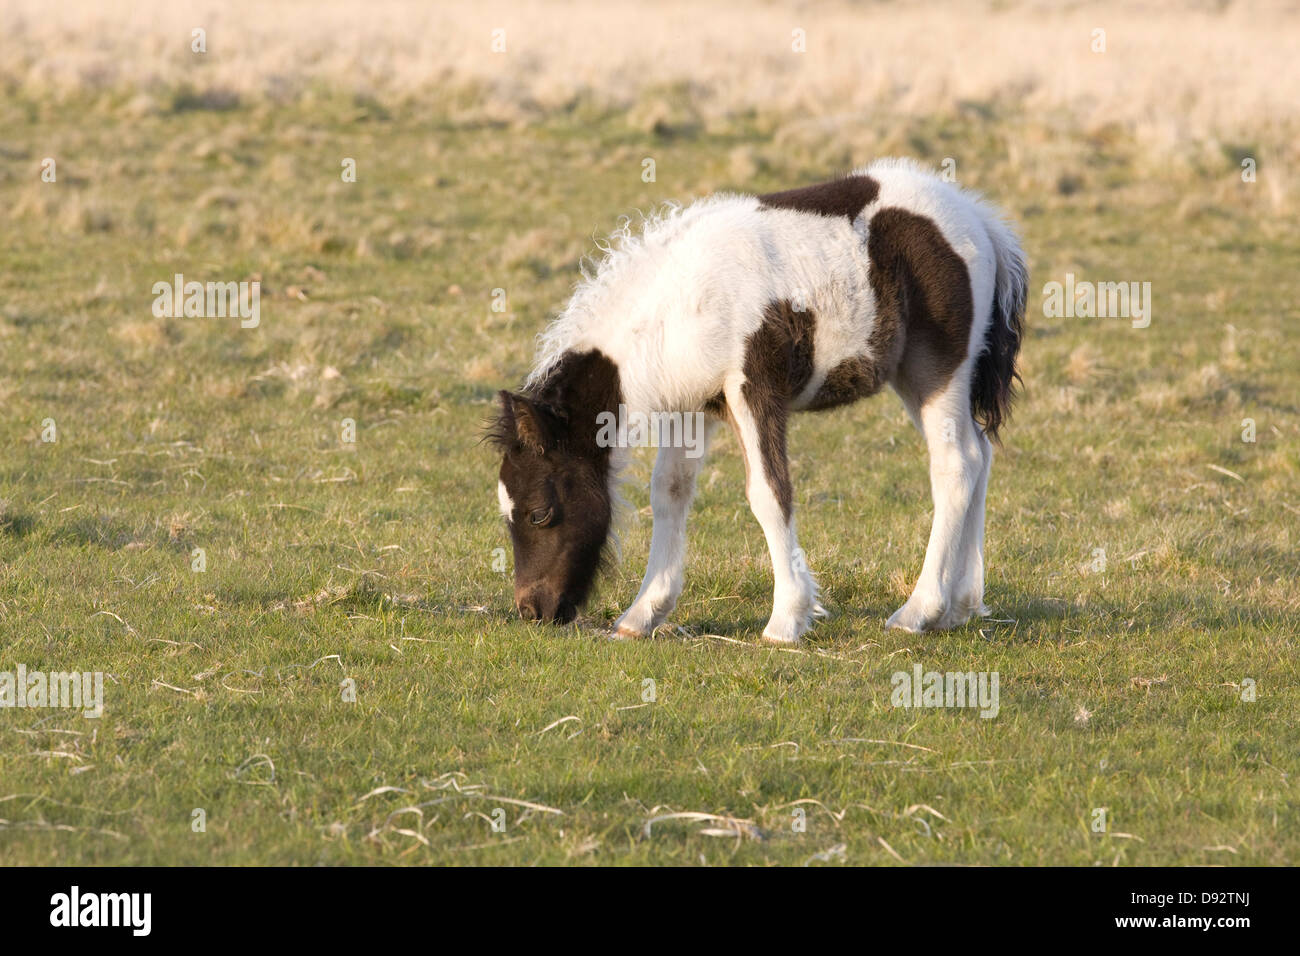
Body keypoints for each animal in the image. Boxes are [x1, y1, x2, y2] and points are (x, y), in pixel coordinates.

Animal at [488, 160, 1024, 647]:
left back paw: (919, 611)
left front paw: (786, 621)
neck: (679, 307)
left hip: (940, 369)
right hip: (915, 377)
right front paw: (643, 614)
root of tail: (979, 219)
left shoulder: (754, 389)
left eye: (540, 513)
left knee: (955, 464)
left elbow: (769, 493)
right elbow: (669, 493)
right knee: (979, 454)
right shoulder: (692, 405)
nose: (532, 611)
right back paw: (961, 607)